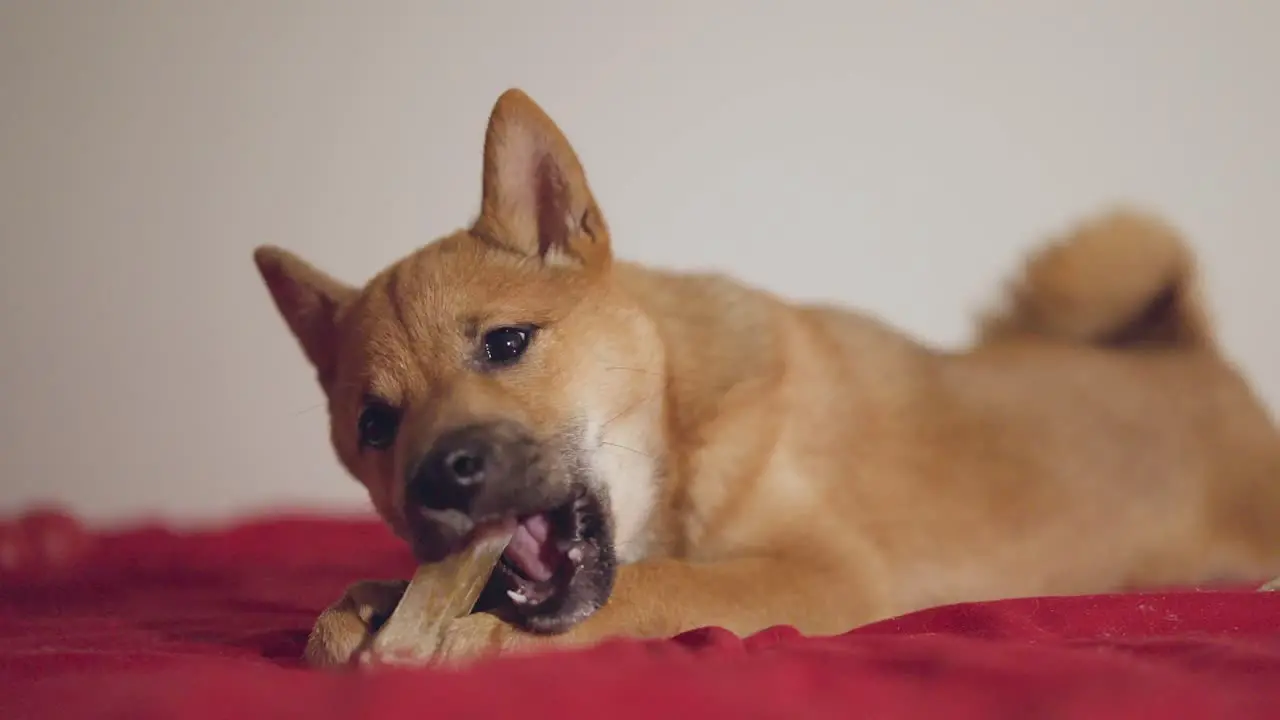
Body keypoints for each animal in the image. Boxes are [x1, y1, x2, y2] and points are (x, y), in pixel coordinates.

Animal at [254, 89, 1280, 666]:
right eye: (373, 426)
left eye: (506, 344)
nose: (441, 477)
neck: (680, 424)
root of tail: (1191, 351)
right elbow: (357, 607)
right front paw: (361, 616)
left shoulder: (824, 573)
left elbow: (657, 589)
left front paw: (468, 637)